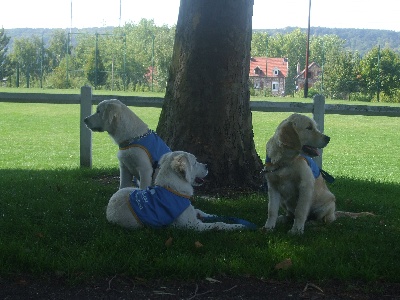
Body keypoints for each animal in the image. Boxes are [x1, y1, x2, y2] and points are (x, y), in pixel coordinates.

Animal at [105, 151, 247, 231]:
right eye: (195, 162)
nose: (207, 166)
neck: (173, 189)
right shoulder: (193, 225)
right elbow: (219, 223)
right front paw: (238, 226)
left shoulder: (193, 213)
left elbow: (203, 212)